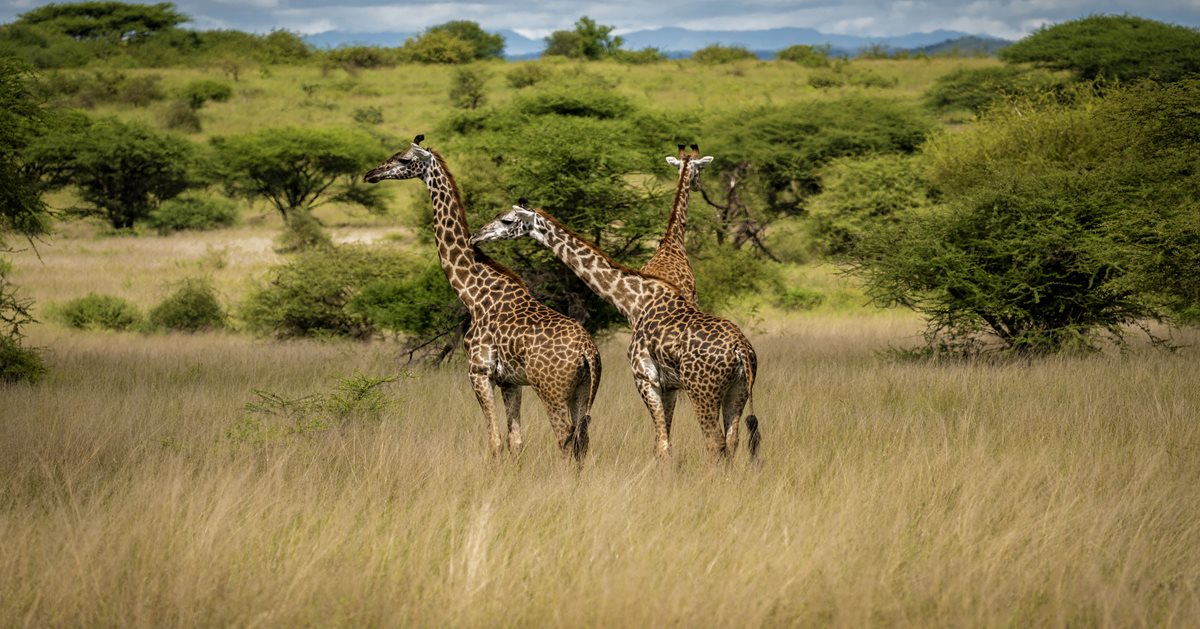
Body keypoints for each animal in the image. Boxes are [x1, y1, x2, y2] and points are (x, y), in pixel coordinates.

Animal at [357, 136, 597, 460]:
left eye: (404, 160)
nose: (371, 174)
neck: (473, 293)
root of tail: (588, 351)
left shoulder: (479, 372)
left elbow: (494, 441)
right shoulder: (510, 381)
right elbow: (515, 440)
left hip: (551, 389)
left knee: (565, 439)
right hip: (583, 390)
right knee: (582, 441)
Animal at [468, 204, 758, 463]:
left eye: (506, 220)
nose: (476, 236)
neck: (632, 301)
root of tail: (740, 350)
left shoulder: (645, 378)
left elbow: (661, 446)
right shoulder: (668, 386)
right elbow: (664, 443)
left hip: (702, 391)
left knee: (715, 443)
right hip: (738, 389)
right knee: (732, 441)